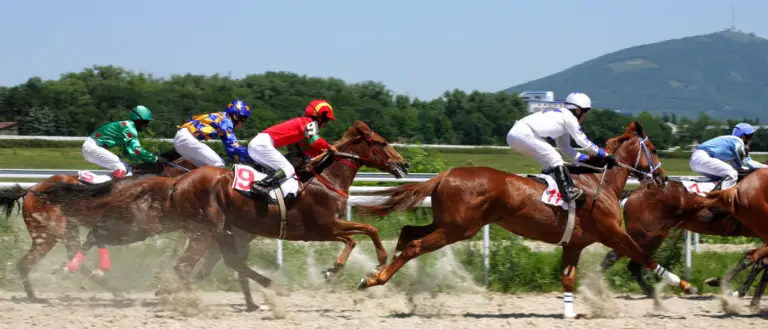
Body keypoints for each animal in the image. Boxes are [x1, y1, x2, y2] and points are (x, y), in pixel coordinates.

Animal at [0, 150, 195, 302]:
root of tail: (31, 190)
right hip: (49, 234)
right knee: (26, 264)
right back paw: (35, 296)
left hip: (67, 229)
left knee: (71, 255)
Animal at [33, 120, 412, 310]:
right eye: (381, 142)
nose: (404, 164)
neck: (323, 179)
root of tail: (177, 182)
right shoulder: (322, 226)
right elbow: (361, 233)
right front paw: (352, 267)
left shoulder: (250, 232)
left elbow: (362, 231)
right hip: (192, 229)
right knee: (177, 263)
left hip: (198, 229)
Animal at [354, 121, 696, 318]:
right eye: (653, 148)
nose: (663, 178)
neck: (600, 184)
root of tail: (445, 174)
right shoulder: (613, 233)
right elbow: (643, 257)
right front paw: (685, 285)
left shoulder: (575, 244)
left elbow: (568, 277)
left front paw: (570, 313)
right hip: (458, 229)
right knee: (414, 246)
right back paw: (375, 279)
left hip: (447, 224)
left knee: (407, 233)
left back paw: (385, 276)